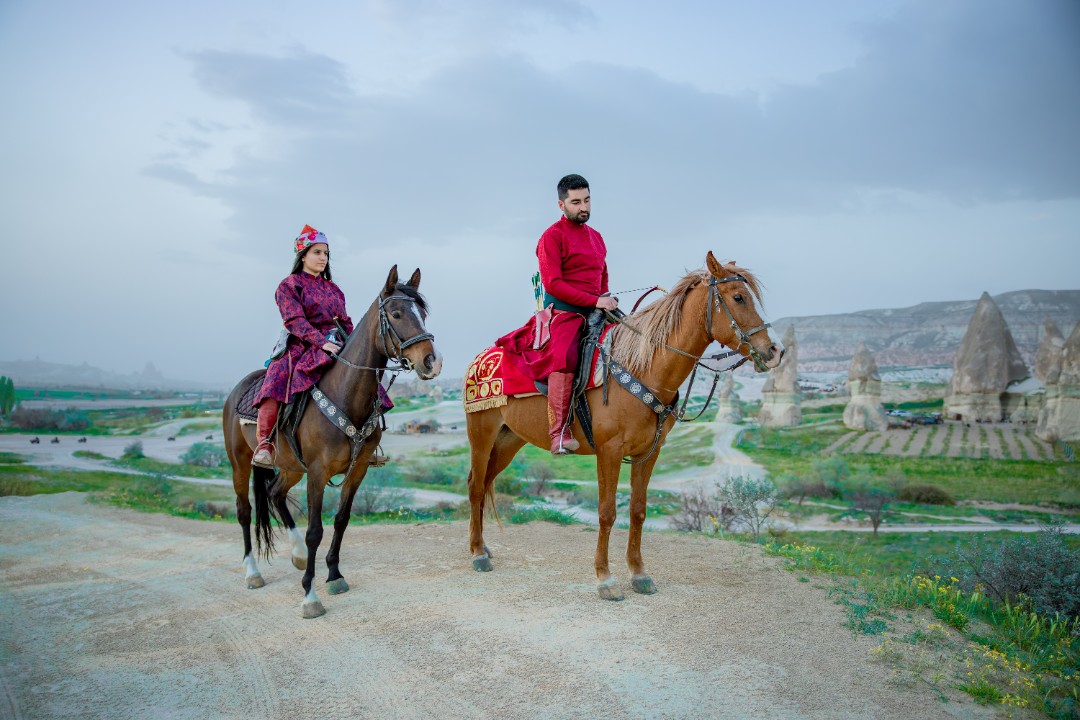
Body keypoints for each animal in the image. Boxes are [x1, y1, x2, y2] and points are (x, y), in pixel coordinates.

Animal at [223, 266, 441, 618]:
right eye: (396, 313)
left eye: (422, 313)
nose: (432, 362)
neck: (346, 394)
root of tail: (236, 391)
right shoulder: (317, 473)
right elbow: (316, 530)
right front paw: (310, 596)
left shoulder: (357, 470)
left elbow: (341, 519)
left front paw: (334, 574)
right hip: (240, 463)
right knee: (245, 511)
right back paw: (253, 572)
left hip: (290, 467)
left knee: (275, 493)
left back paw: (297, 555)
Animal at [465, 252, 782, 600]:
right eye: (738, 297)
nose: (774, 350)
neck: (644, 367)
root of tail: (480, 359)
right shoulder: (610, 452)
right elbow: (606, 513)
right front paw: (606, 579)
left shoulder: (649, 452)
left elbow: (638, 510)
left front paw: (639, 574)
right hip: (481, 435)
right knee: (476, 486)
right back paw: (478, 554)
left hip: (508, 441)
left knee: (485, 483)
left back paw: (482, 546)